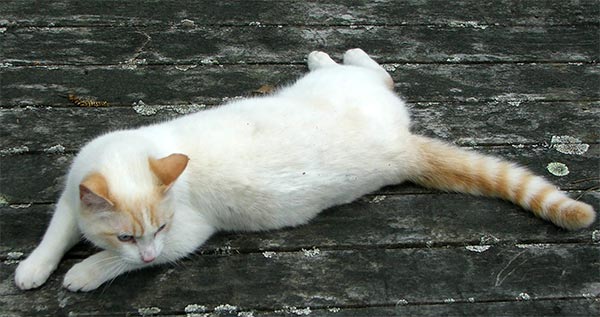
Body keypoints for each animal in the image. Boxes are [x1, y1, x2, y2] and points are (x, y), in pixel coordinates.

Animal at [12, 48, 596, 292]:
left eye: (157, 230)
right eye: (129, 233)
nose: (149, 251)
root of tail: (401, 144)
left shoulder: (187, 234)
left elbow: (117, 264)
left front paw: (86, 272)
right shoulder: (73, 191)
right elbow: (57, 231)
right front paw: (35, 268)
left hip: (343, 89)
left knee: (378, 72)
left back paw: (331, 53)